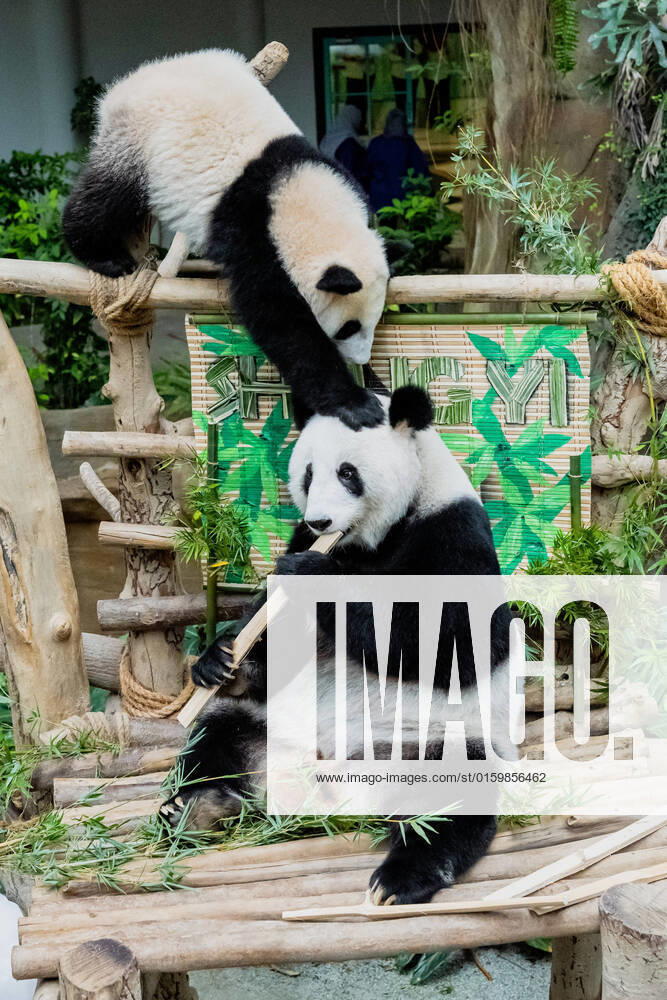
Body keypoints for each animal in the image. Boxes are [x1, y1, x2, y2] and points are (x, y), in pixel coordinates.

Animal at [62, 49, 389, 429]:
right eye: (348, 328)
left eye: (374, 319)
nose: (362, 358)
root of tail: (135, 78)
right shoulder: (254, 234)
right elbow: (282, 324)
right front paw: (355, 403)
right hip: (136, 140)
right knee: (108, 194)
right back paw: (102, 255)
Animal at [160, 386, 513, 904]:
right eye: (308, 474)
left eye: (348, 473)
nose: (320, 520)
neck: (366, 544)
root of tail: (332, 792)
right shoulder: (299, 538)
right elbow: (274, 632)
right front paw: (220, 659)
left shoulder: (451, 529)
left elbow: (459, 640)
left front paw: (315, 576)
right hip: (268, 729)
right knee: (215, 736)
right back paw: (198, 806)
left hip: (432, 738)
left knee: (453, 798)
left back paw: (400, 877)